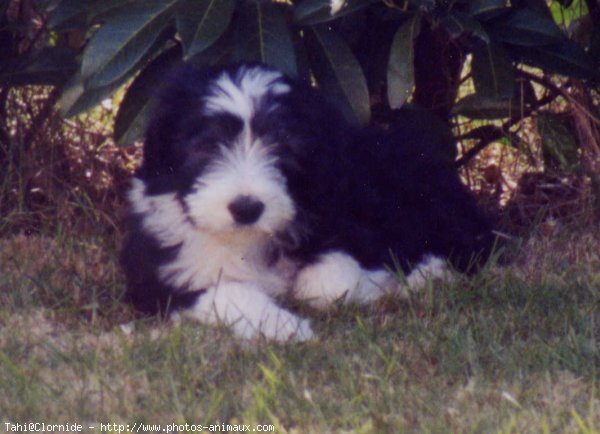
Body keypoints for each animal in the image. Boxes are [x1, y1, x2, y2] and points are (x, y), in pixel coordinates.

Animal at [120, 62, 492, 342]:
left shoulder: (347, 220)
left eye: (283, 146)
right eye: (204, 147)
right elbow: (228, 292)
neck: (246, 239)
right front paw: (283, 326)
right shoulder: (163, 278)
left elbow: (331, 283)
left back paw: (427, 276)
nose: (247, 208)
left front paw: (378, 286)